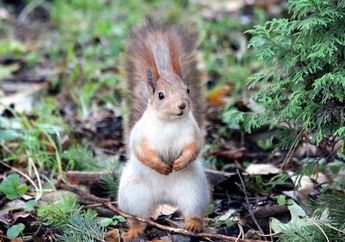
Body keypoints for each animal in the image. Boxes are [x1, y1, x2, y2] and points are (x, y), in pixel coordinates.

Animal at [118, 25, 208, 241]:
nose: (182, 105)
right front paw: (161, 166)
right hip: (131, 195)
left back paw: (194, 225)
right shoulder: (141, 136)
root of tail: (164, 198)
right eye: (161, 95)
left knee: (193, 211)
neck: (169, 123)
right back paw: (133, 231)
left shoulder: (193, 133)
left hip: (194, 191)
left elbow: (193, 149)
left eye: (187, 90)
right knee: (136, 218)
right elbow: (142, 151)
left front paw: (180, 162)